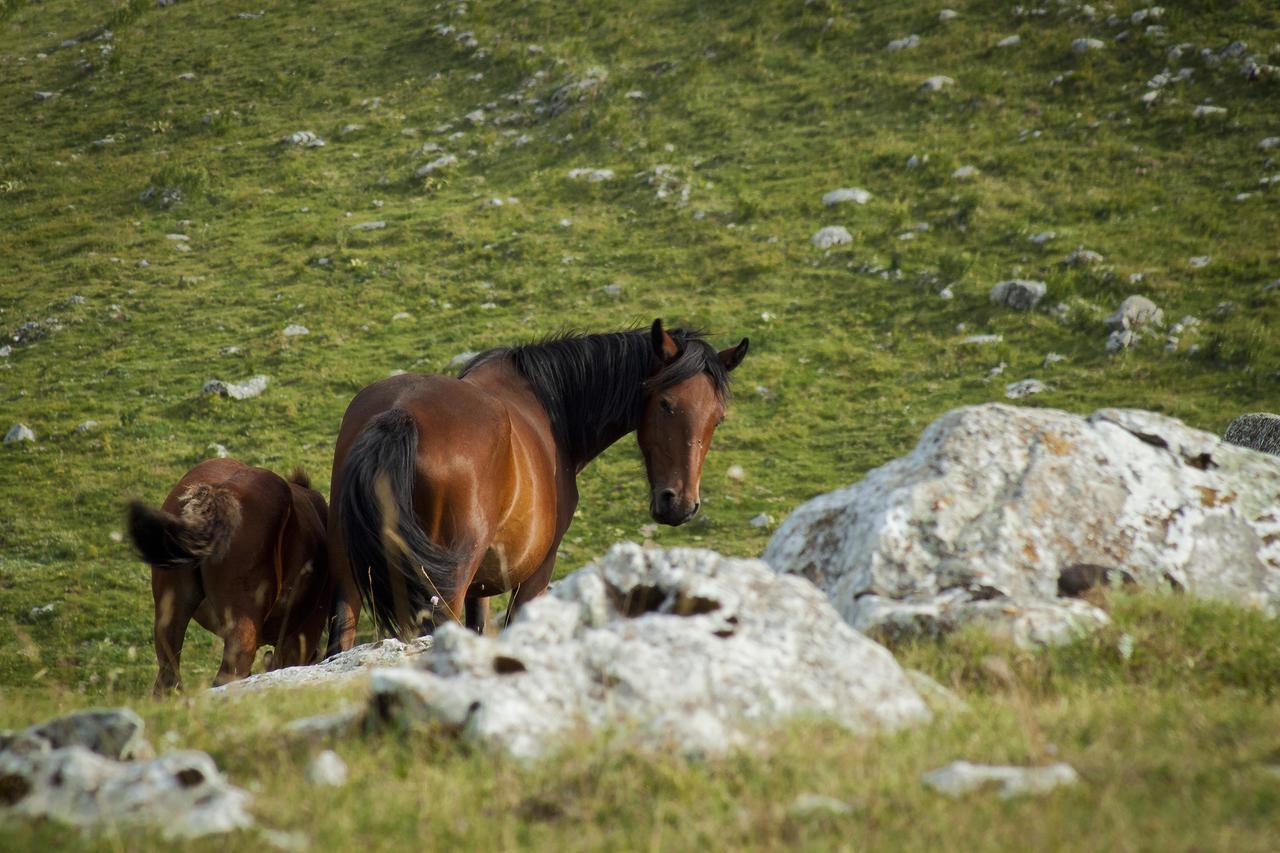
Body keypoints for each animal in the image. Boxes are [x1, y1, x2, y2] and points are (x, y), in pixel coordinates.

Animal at [325, 317, 747, 645]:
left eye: (718, 418)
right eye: (665, 404)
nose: (680, 505)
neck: (547, 405)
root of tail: (399, 414)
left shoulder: (482, 587)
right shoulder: (537, 573)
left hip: (348, 571)